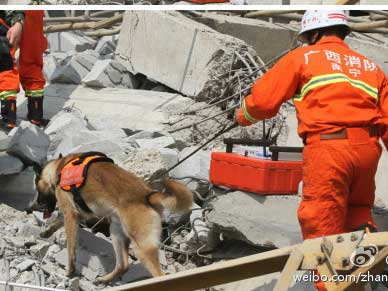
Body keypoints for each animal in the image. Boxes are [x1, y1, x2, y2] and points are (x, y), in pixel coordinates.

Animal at [32, 154, 193, 284]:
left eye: (37, 188)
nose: (37, 203)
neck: (61, 165)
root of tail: (147, 195)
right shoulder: (78, 214)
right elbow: (58, 221)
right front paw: (47, 231)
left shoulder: (70, 214)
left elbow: (71, 249)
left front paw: (69, 271)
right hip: (116, 231)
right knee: (123, 265)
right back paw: (105, 279)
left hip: (141, 248)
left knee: (158, 274)